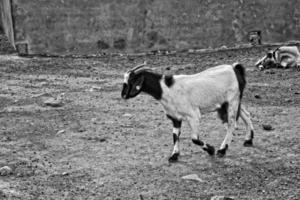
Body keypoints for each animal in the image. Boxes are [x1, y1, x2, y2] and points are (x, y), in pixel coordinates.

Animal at [120, 62, 254, 162]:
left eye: (130, 81)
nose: (123, 95)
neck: (167, 89)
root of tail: (235, 68)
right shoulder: (175, 117)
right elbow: (175, 136)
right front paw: (174, 156)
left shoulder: (193, 115)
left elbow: (194, 138)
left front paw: (211, 150)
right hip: (231, 102)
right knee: (246, 114)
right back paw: (248, 140)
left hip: (232, 101)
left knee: (231, 124)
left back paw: (222, 150)